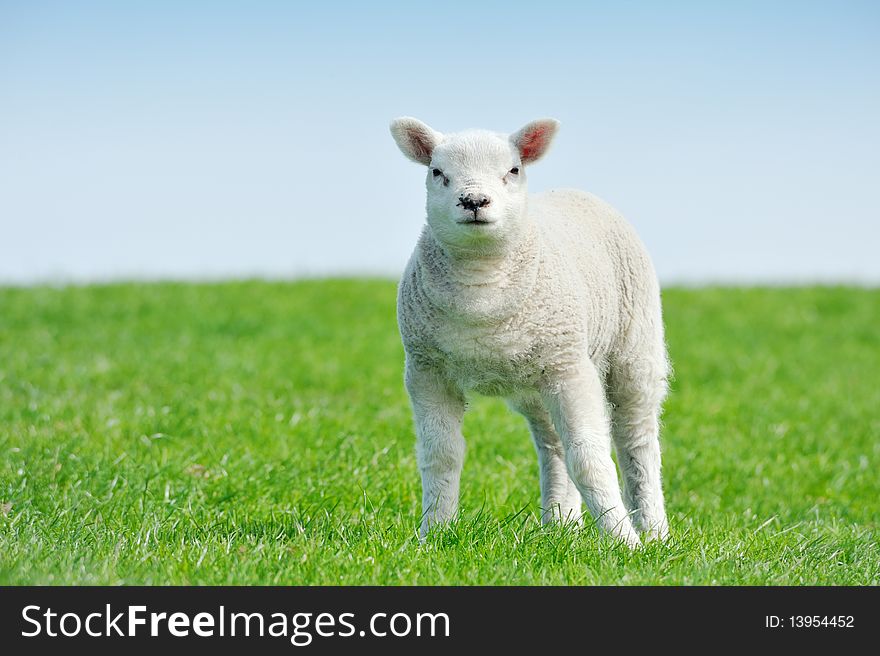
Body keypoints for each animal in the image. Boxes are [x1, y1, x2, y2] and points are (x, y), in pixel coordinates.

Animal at [388, 118, 672, 548]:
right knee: (553, 444)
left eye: (513, 170)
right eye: (437, 172)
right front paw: (433, 534)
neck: (482, 299)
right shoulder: (426, 371)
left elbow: (590, 457)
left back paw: (654, 531)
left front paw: (623, 541)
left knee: (636, 438)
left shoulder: (570, 367)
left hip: (633, 349)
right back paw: (562, 524)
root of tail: (575, 191)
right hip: (535, 381)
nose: (474, 201)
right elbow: (441, 456)